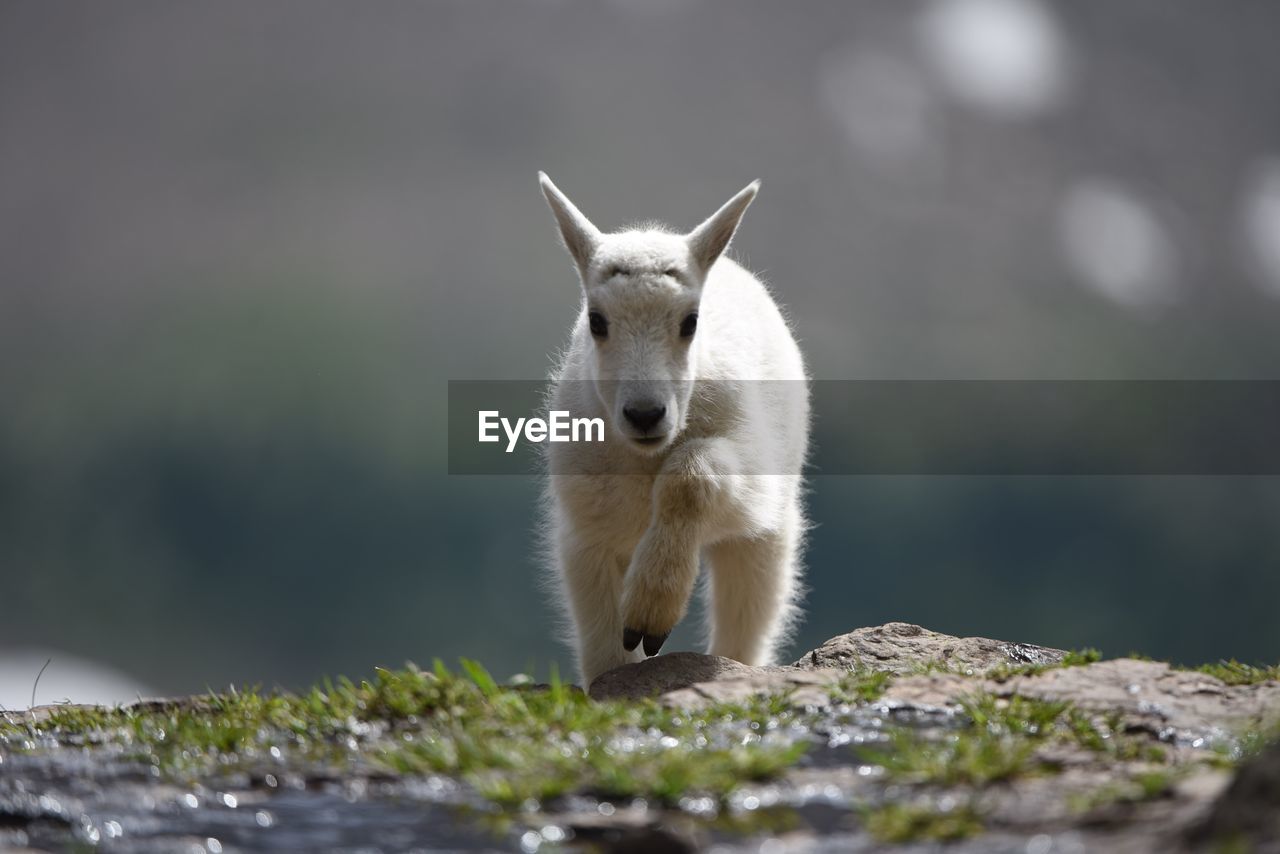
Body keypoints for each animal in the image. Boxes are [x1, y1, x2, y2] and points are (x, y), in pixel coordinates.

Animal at [540, 174, 808, 686]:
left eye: (691, 321)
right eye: (596, 321)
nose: (645, 414)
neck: (643, 461)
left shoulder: (750, 477)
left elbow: (693, 474)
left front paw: (650, 615)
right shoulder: (588, 530)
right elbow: (605, 648)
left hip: (767, 535)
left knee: (746, 619)